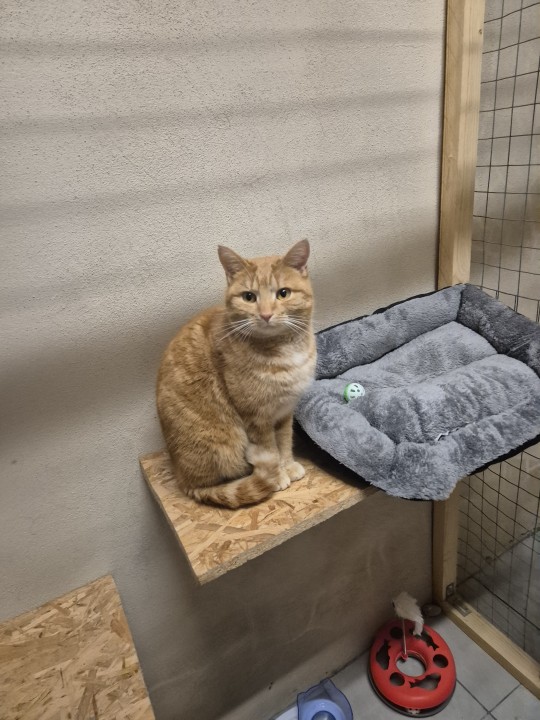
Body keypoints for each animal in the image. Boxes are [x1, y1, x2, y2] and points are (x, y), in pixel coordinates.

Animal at [156, 239, 316, 508]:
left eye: (283, 293)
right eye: (249, 297)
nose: (265, 314)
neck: (282, 348)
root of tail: (184, 481)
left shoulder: (285, 412)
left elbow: (284, 442)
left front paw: (288, 466)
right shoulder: (256, 417)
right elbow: (270, 449)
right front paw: (278, 476)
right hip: (226, 444)